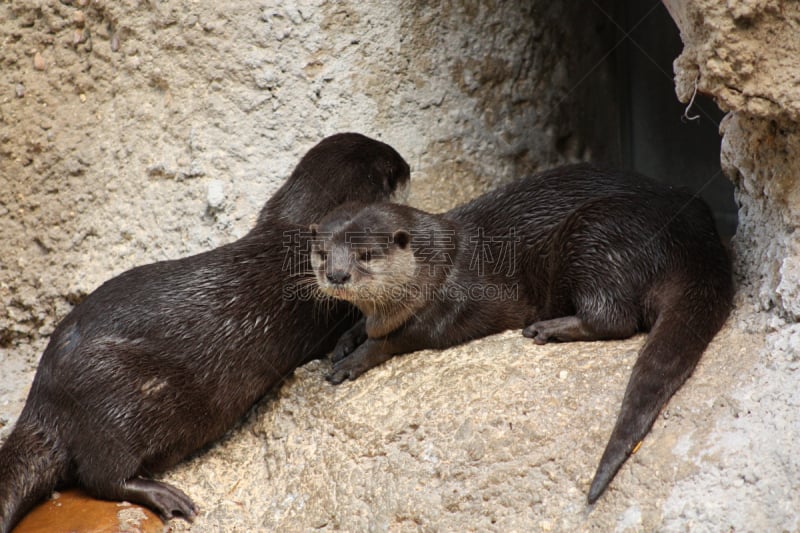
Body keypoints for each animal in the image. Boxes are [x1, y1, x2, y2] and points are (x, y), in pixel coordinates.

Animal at [0, 131, 410, 528]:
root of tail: (42, 398)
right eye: (394, 167)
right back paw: (163, 495)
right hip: (113, 400)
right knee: (101, 477)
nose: (408, 163)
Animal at [310, 164, 736, 504]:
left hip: (596, 235)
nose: (336, 275)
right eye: (321, 253)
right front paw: (346, 340)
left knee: (615, 320)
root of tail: (696, 240)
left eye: (366, 255)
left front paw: (354, 360)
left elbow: (400, 338)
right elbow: (364, 327)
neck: (438, 264)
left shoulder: (456, 303)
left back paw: (547, 328)